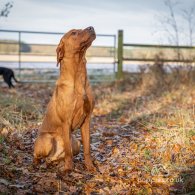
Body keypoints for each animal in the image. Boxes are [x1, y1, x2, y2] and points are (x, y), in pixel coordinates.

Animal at [34, 25, 96, 172]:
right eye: (74, 33)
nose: (91, 27)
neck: (78, 75)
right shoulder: (66, 122)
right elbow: (68, 151)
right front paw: (68, 169)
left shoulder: (87, 119)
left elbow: (87, 148)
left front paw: (90, 166)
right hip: (47, 139)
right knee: (36, 156)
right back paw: (38, 165)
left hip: (76, 142)